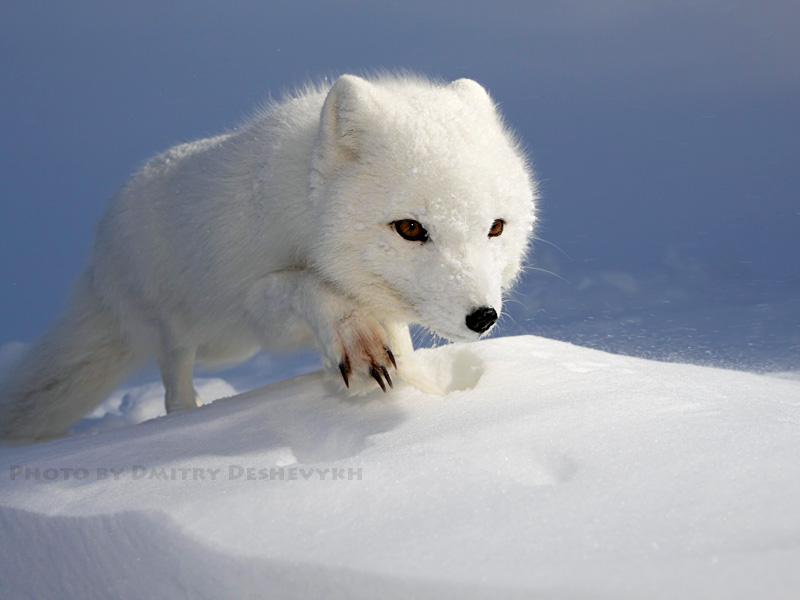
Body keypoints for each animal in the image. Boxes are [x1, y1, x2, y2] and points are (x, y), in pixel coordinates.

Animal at [1, 74, 536, 440]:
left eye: (495, 228)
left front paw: (427, 395)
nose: (483, 317)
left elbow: (400, 351)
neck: (304, 211)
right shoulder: (259, 306)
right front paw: (354, 339)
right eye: (411, 229)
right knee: (176, 393)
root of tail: (96, 260)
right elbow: (309, 286)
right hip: (181, 333)